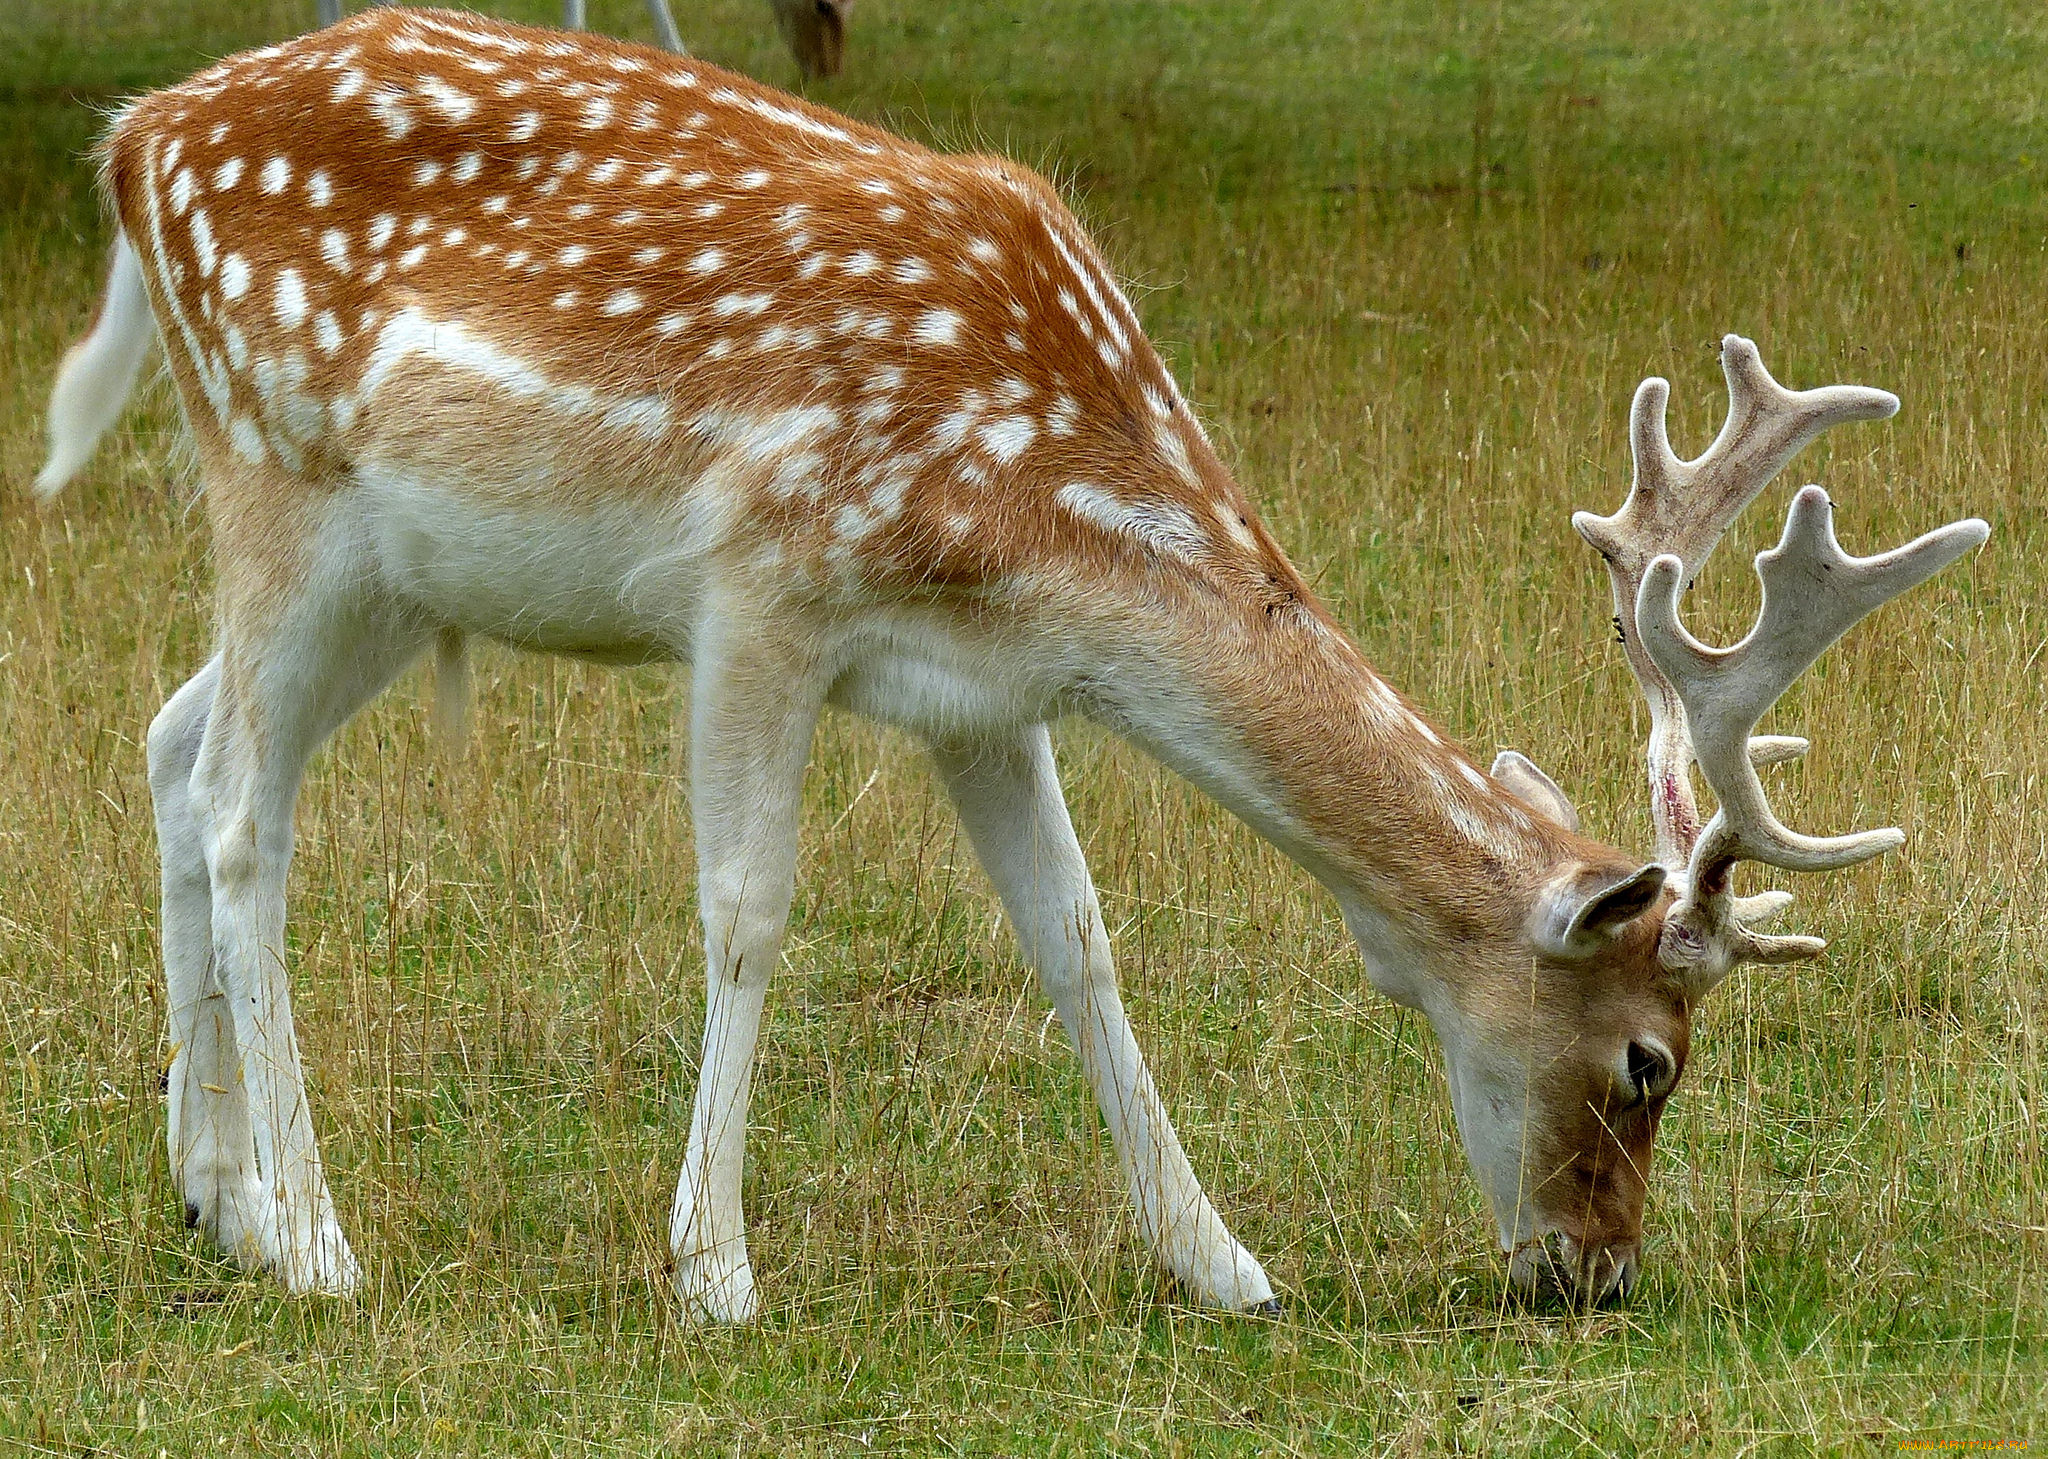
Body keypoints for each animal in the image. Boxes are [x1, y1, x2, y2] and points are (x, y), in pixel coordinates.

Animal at [36, 5, 1982, 1319]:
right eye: (1649, 1058)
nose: (1595, 1270)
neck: (1048, 515)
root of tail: (132, 142)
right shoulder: (761, 584)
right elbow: (747, 908)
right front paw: (713, 1266)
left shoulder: (984, 692)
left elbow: (1078, 934)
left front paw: (1221, 1257)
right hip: (279, 473)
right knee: (243, 805)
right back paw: (318, 1237)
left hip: (392, 573)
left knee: (172, 736)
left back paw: (214, 1193)